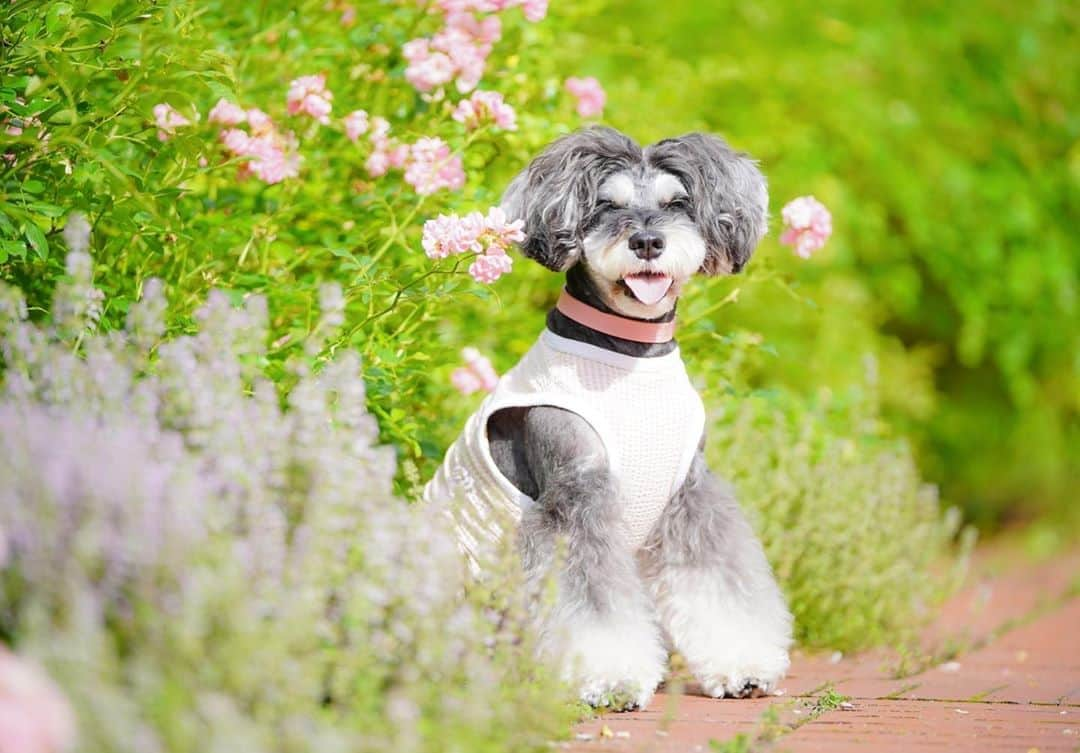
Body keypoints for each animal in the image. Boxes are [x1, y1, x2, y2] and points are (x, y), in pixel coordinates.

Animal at [423, 126, 794, 708]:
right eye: (606, 205)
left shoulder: (692, 493)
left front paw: (743, 665)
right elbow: (593, 601)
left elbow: (717, 582)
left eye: (676, 203)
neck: (630, 355)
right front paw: (610, 678)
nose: (647, 242)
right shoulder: (576, 496)